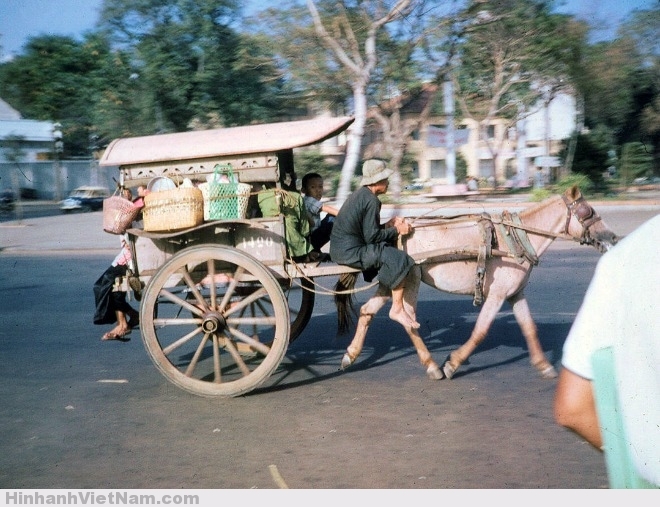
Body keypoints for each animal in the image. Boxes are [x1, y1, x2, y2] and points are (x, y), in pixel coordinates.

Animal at [336, 187, 620, 380]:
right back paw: (432, 365)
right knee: (405, 318)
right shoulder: (496, 295)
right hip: (412, 276)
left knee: (368, 311)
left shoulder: (515, 294)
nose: (613, 238)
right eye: (589, 212)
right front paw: (453, 363)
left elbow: (529, 328)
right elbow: (481, 330)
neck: (514, 239)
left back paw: (350, 355)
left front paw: (544, 365)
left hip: (391, 278)